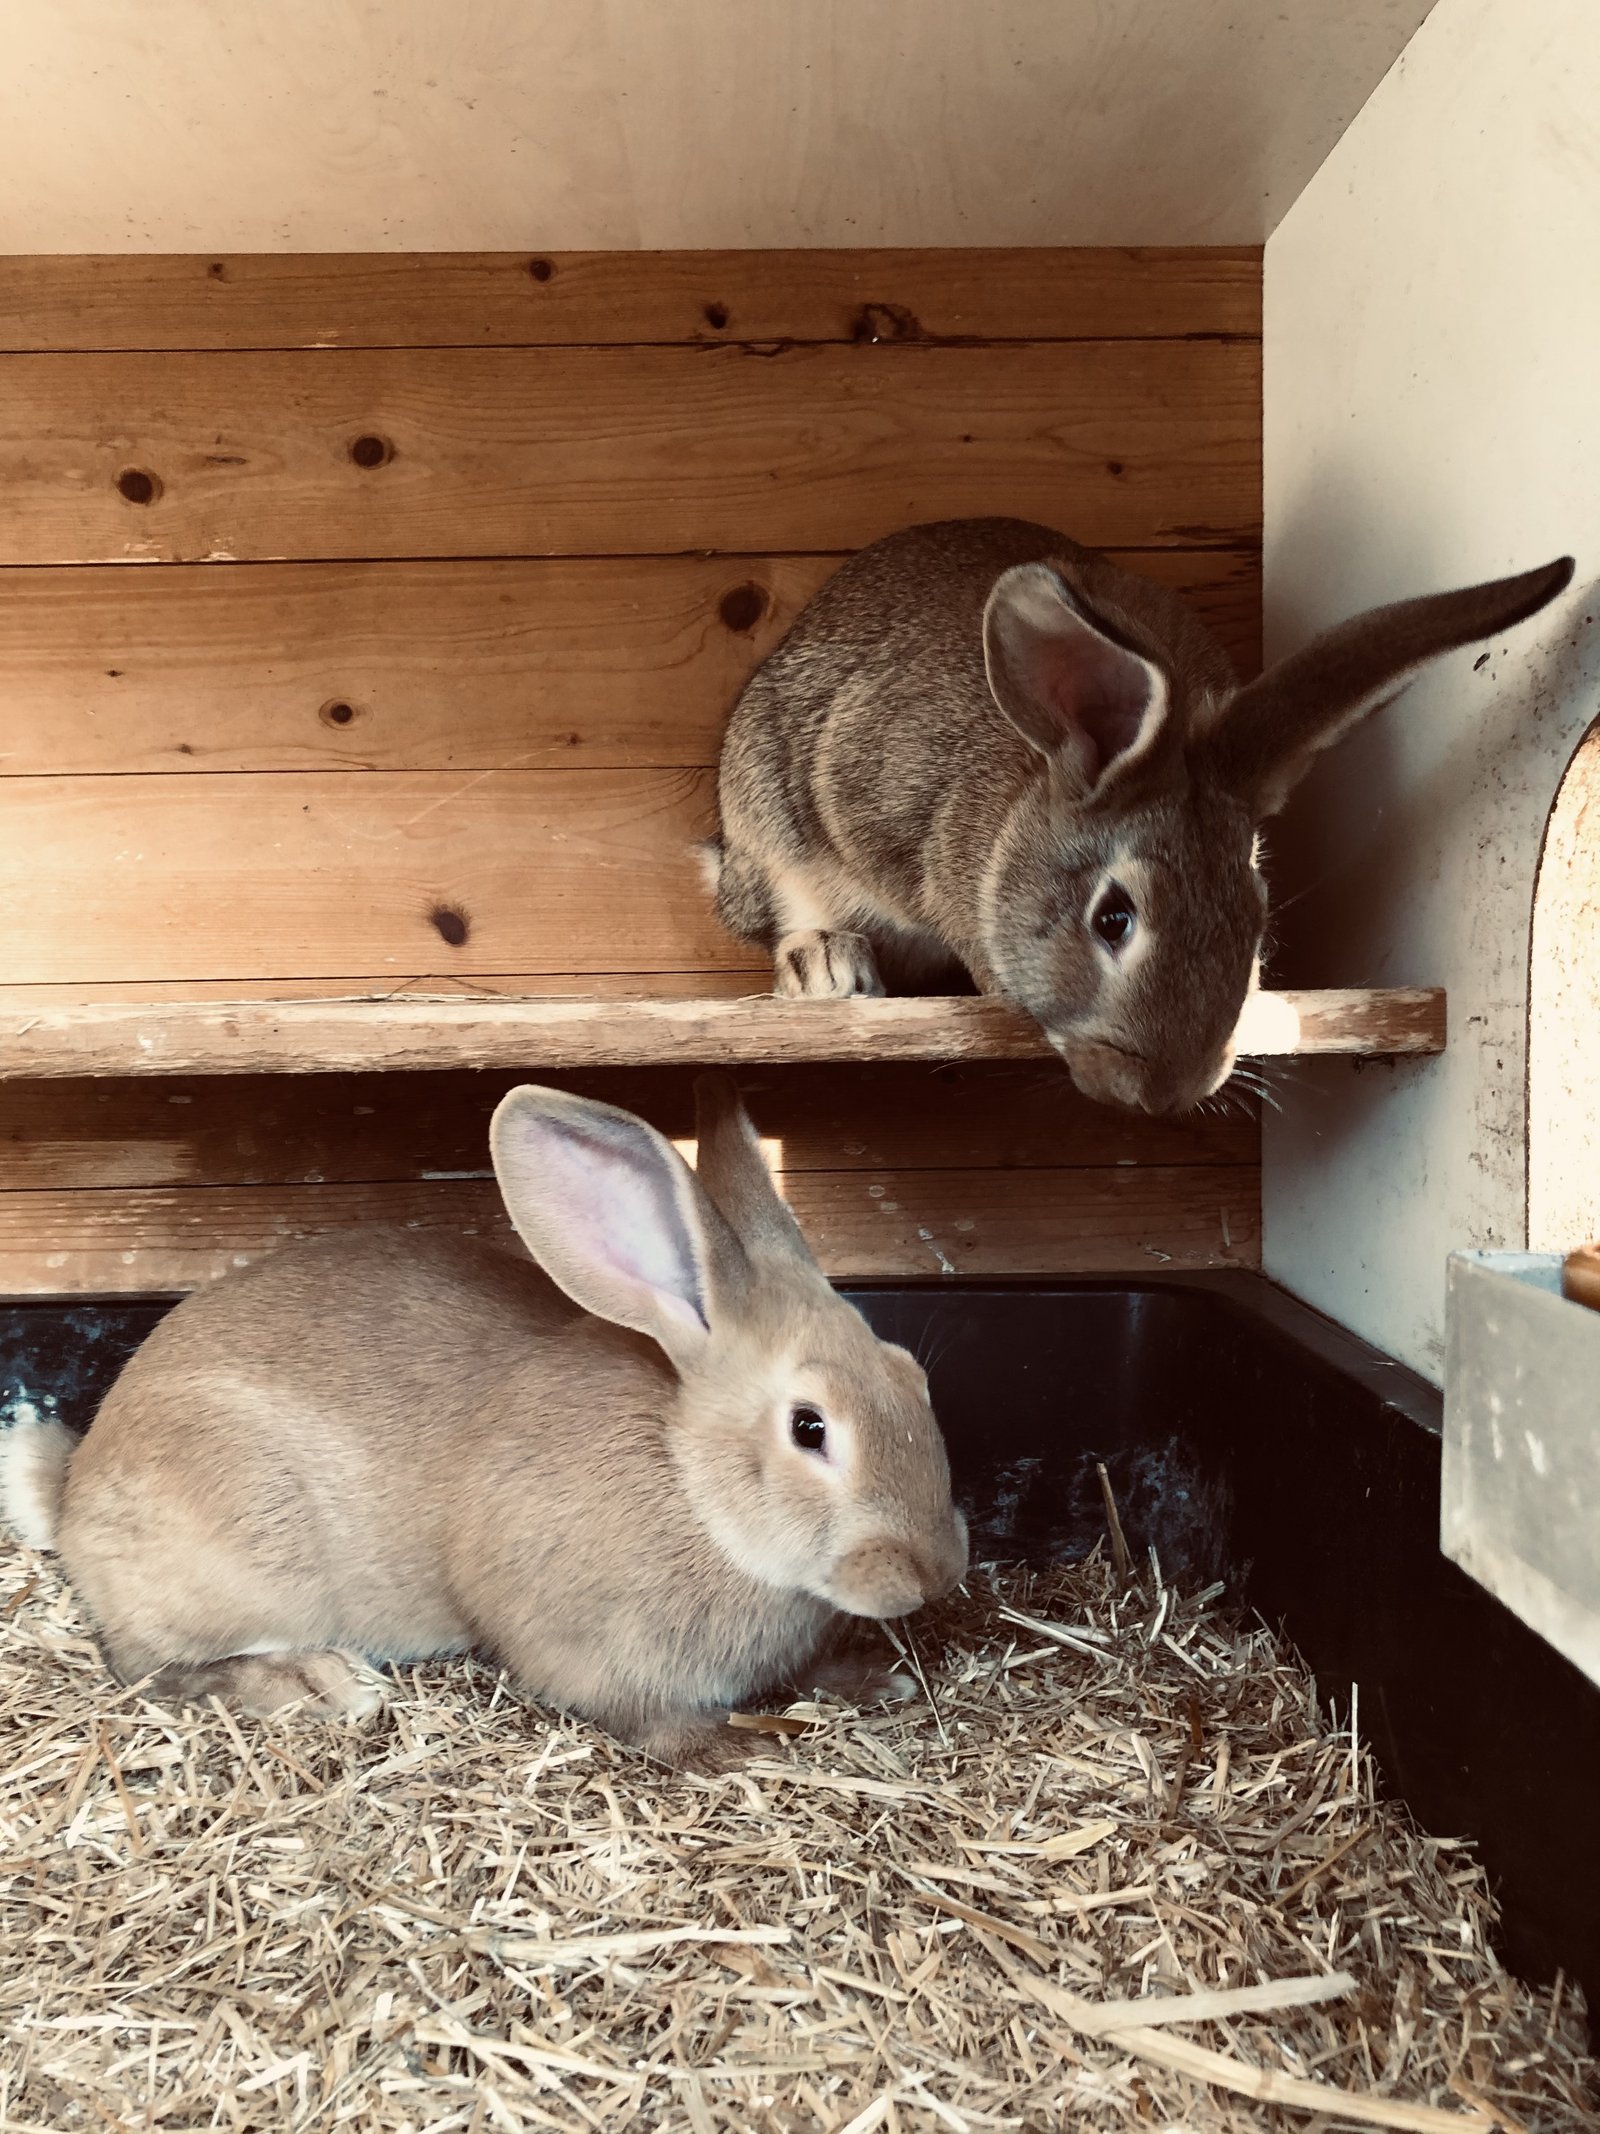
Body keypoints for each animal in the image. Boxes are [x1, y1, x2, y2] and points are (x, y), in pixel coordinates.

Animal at [0, 1075, 968, 1772]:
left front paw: (874, 1680)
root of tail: (76, 1490)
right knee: (149, 1668)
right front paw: (739, 1747)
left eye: (911, 1374)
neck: (693, 1484)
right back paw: (323, 1685)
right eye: (809, 1429)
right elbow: (649, 1721)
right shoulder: (590, 1650)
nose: (934, 1573)